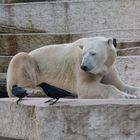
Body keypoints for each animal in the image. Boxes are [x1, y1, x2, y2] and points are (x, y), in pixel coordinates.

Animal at [7, 36, 140, 98]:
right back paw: (36, 91)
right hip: (32, 64)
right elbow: (85, 87)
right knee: (20, 58)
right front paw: (126, 96)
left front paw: (135, 92)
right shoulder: (78, 64)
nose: (84, 67)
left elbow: (120, 85)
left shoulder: (109, 67)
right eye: (83, 54)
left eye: (93, 53)